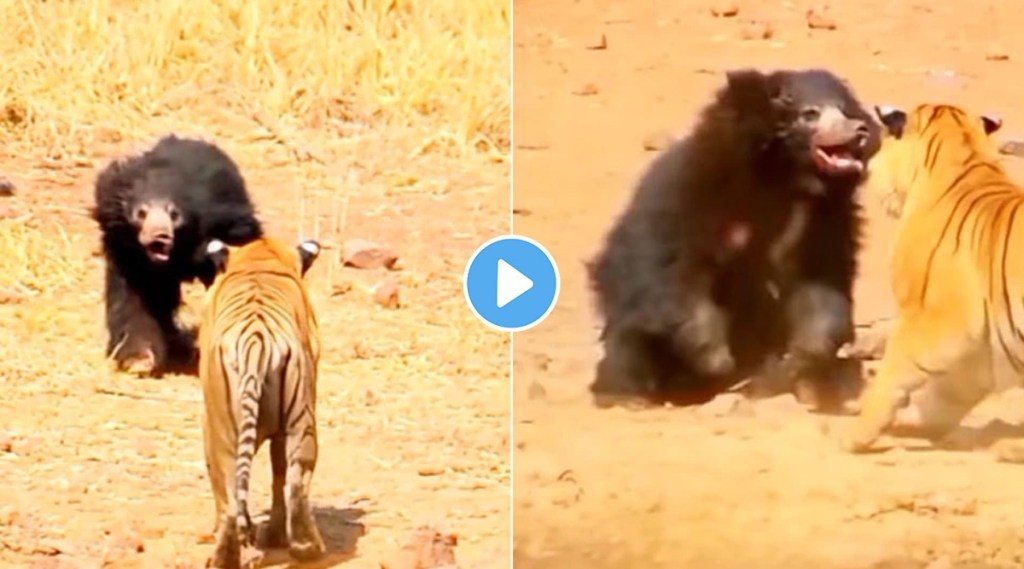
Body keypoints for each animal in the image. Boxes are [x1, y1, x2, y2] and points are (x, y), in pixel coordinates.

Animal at [197, 234, 325, 568]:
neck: (261, 255)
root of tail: (256, 341)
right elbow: (278, 475)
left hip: (226, 431)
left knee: (234, 495)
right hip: (301, 422)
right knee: (295, 481)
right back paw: (304, 548)